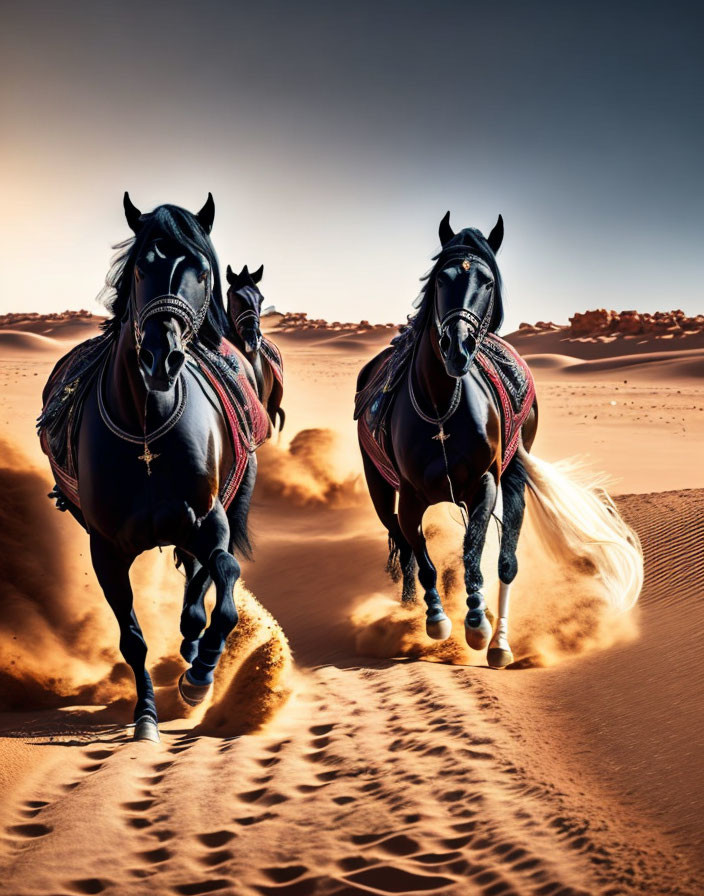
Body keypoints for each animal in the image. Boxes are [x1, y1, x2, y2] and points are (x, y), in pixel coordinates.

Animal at [37, 196, 272, 744]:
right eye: (143, 266)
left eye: (202, 270)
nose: (160, 358)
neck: (146, 427)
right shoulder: (105, 549)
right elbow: (132, 638)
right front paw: (145, 715)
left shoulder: (209, 520)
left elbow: (224, 578)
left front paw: (200, 675)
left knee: (206, 575)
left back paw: (194, 652)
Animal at [358, 214, 644, 668]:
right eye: (442, 278)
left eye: (488, 282)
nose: (457, 347)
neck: (442, 406)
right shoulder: (409, 497)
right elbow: (423, 557)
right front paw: (436, 619)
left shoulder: (485, 483)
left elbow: (474, 549)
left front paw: (477, 621)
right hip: (380, 490)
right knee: (404, 548)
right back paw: (410, 610)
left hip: (513, 477)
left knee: (506, 561)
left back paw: (500, 642)